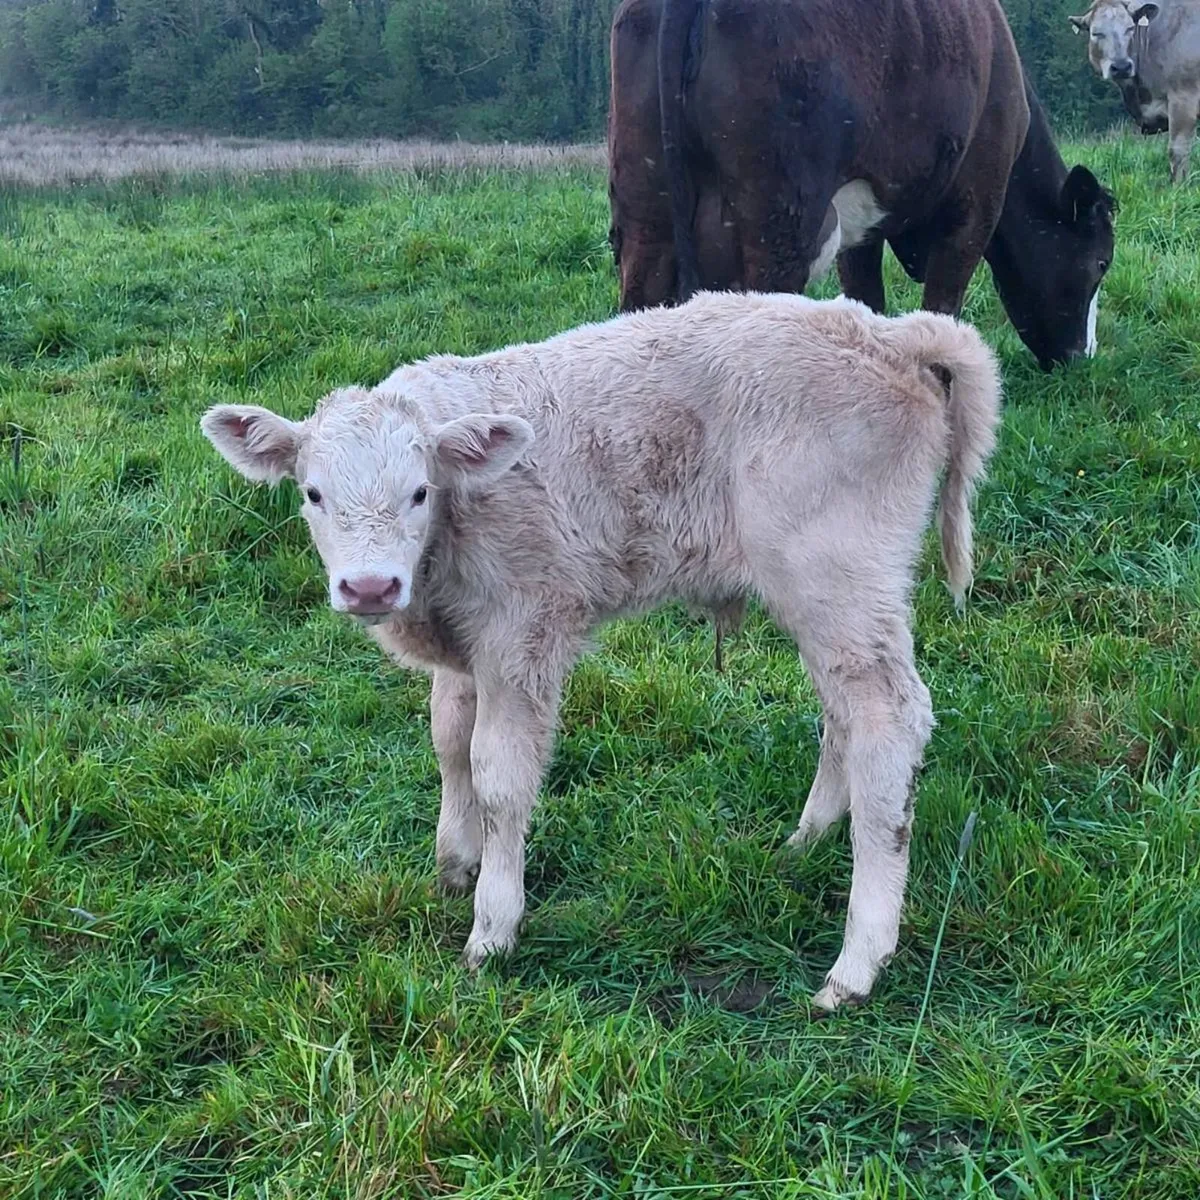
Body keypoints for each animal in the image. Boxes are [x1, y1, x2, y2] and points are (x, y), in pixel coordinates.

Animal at [201, 291, 1001, 1011]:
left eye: (420, 492)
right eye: (312, 494)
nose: (369, 586)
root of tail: (887, 334)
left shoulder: (523, 635)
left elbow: (498, 775)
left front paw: (492, 925)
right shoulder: (467, 651)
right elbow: (449, 743)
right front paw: (454, 863)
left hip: (839, 578)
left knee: (888, 721)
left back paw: (857, 963)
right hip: (826, 601)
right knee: (845, 713)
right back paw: (805, 841)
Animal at [608, 0, 1116, 372]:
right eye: (1101, 263)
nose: (1082, 359)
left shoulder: (862, 231)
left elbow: (865, 296)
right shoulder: (976, 205)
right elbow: (942, 304)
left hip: (647, 206)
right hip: (780, 221)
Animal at [1070, 0, 1200, 183]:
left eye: (1130, 28)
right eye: (1096, 33)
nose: (1121, 66)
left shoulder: (1183, 96)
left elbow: (1178, 150)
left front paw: (1180, 185)